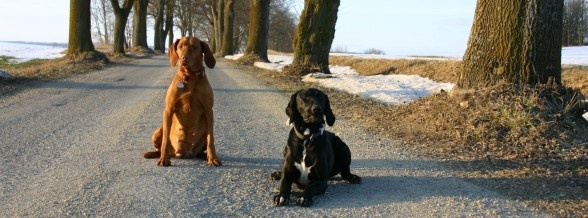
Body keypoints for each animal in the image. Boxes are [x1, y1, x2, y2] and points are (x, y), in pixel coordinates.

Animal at [144, 36, 222, 167]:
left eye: (194, 47)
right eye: (180, 46)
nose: (183, 58)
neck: (190, 77)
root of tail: (182, 154)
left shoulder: (209, 111)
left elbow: (211, 139)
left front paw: (213, 158)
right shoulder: (168, 110)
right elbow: (165, 139)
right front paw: (164, 159)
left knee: (203, 145)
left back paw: (205, 156)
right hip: (157, 131)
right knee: (159, 147)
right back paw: (153, 154)